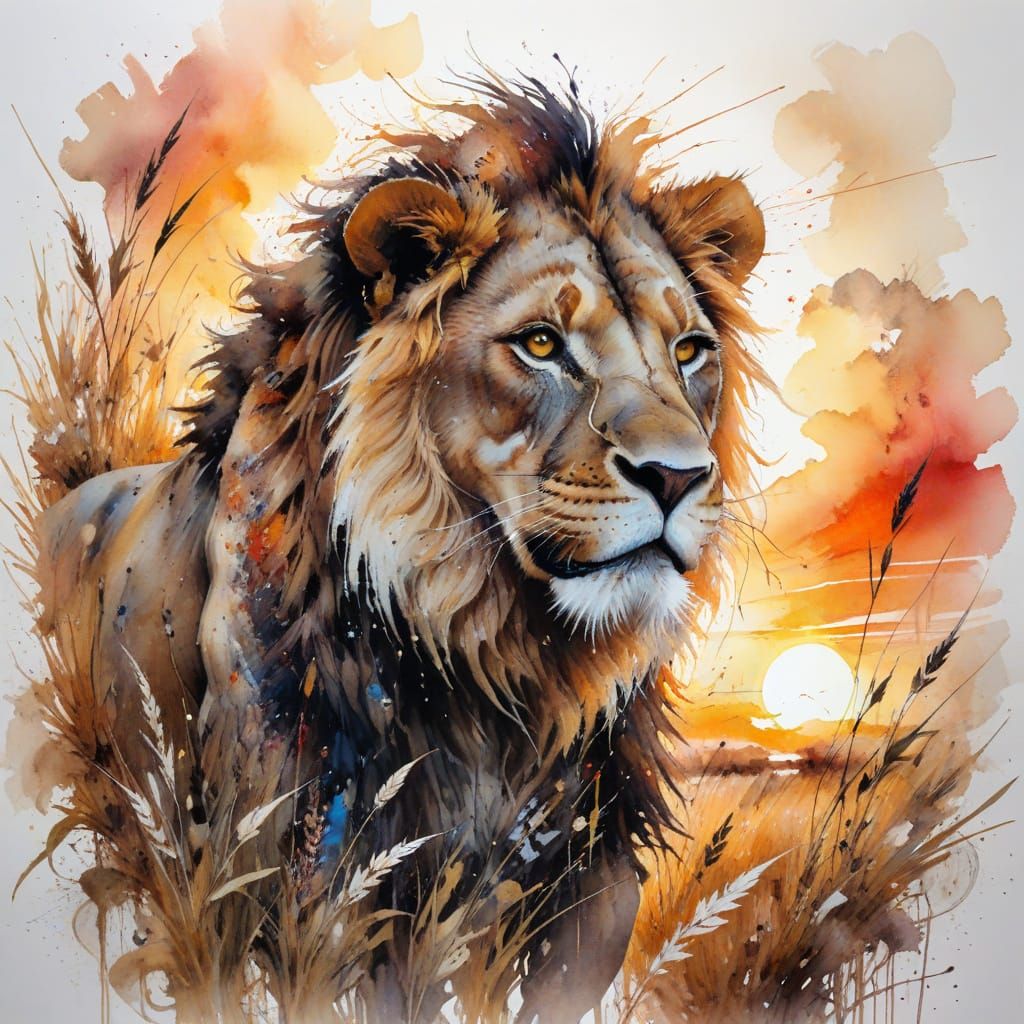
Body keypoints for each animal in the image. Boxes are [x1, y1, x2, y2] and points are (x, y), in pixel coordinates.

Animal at [35, 72, 765, 1021]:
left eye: (690, 351)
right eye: (540, 344)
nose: (679, 476)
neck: (499, 672)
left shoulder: (586, 889)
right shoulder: (305, 885)